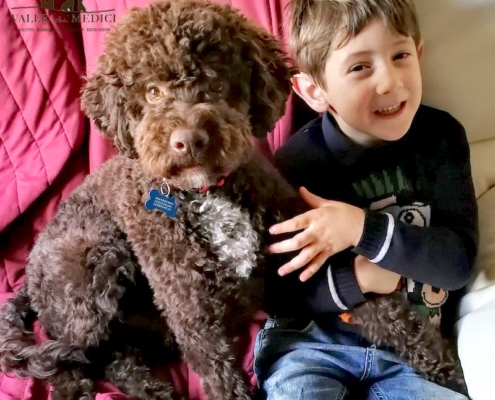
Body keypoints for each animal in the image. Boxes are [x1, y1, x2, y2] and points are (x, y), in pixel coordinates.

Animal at [0, 0, 464, 400]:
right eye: (151, 92)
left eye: (218, 81)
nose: (188, 139)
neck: (208, 194)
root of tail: (27, 280)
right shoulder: (191, 310)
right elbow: (219, 372)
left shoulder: (305, 259)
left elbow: (383, 309)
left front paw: (447, 366)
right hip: (93, 259)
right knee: (71, 358)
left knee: (113, 356)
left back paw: (151, 389)